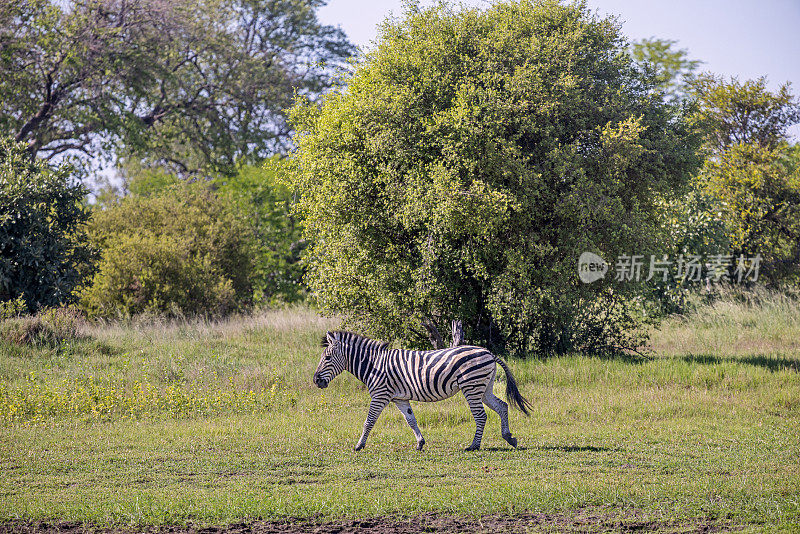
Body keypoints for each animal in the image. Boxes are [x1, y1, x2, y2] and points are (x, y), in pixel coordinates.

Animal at [312, 330, 532, 452]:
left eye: (327, 358)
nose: (316, 381)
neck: (374, 365)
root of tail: (489, 353)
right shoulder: (399, 398)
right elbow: (411, 420)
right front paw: (420, 443)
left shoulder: (380, 394)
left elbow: (369, 421)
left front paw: (359, 446)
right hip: (484, 387)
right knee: (502, 406)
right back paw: (509, 437)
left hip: (471, 386)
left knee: (481, 415)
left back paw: (474, 446)